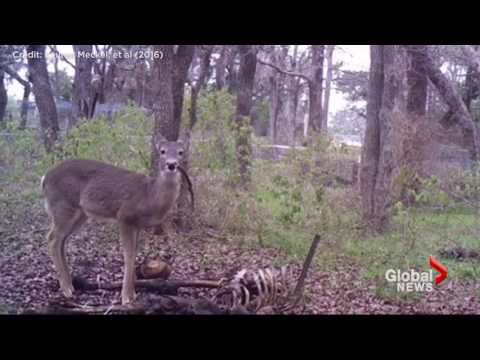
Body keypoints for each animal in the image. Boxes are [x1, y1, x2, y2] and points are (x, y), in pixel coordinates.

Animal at [40, 136, 191, 306]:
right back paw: (66, 290)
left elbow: (135, 253)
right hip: (63, 205)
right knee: (52, 238)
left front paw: (133, 294)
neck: (149, 196)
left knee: (61, 241)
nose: (171, 164)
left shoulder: (137, 225)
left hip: (80, 214)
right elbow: (128, 255)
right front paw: (126, 298)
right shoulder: (124, 216)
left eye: (181, 152)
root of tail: (45, 177)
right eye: (162, 151)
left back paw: (71, 285)